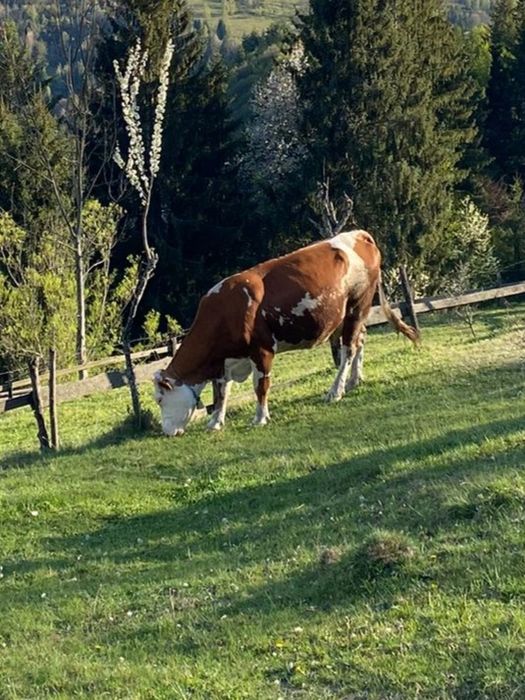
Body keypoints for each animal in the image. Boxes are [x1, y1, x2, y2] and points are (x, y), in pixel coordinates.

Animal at [153, 229, 418, 436]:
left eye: (159, 399)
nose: (166, 432)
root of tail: (358, 234)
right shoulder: (224, 361)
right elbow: (221, 393)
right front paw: (215, 423)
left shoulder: (262, 350)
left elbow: (260, 385)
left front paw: (260, 418)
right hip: (346, 316)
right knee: (359, 341)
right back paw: (354, 380)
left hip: (358, 305)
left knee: (348, 349)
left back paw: (335, 391)